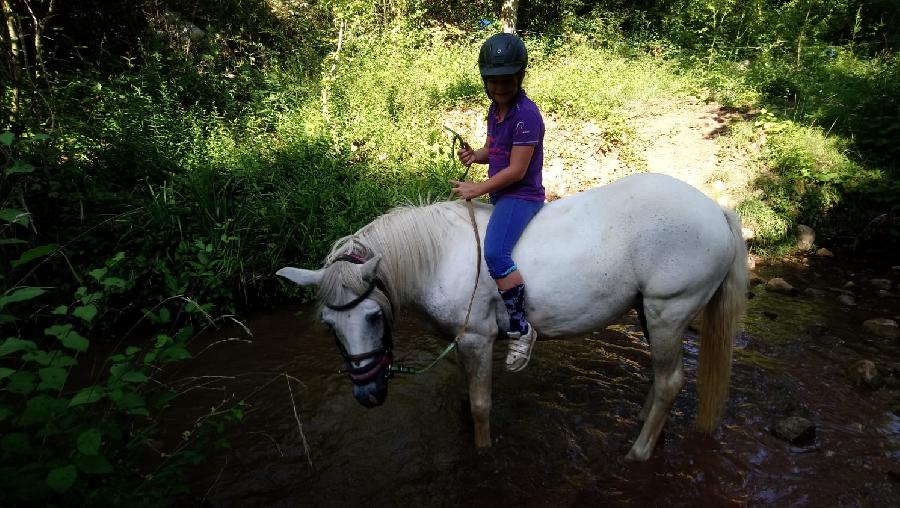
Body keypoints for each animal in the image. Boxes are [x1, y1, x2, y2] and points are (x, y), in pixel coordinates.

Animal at [278, 174, 748, 460]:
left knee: (671, 382)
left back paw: (639, 451)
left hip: (669, 310)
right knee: (660, 376)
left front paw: (484, 451)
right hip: (649, 312)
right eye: (330, 326)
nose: (368, 395)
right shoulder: (461, 344)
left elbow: (481, 405)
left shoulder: (477, 338)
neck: (437, 255)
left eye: (375, 316)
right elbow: (466, 400)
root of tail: (716, 211)